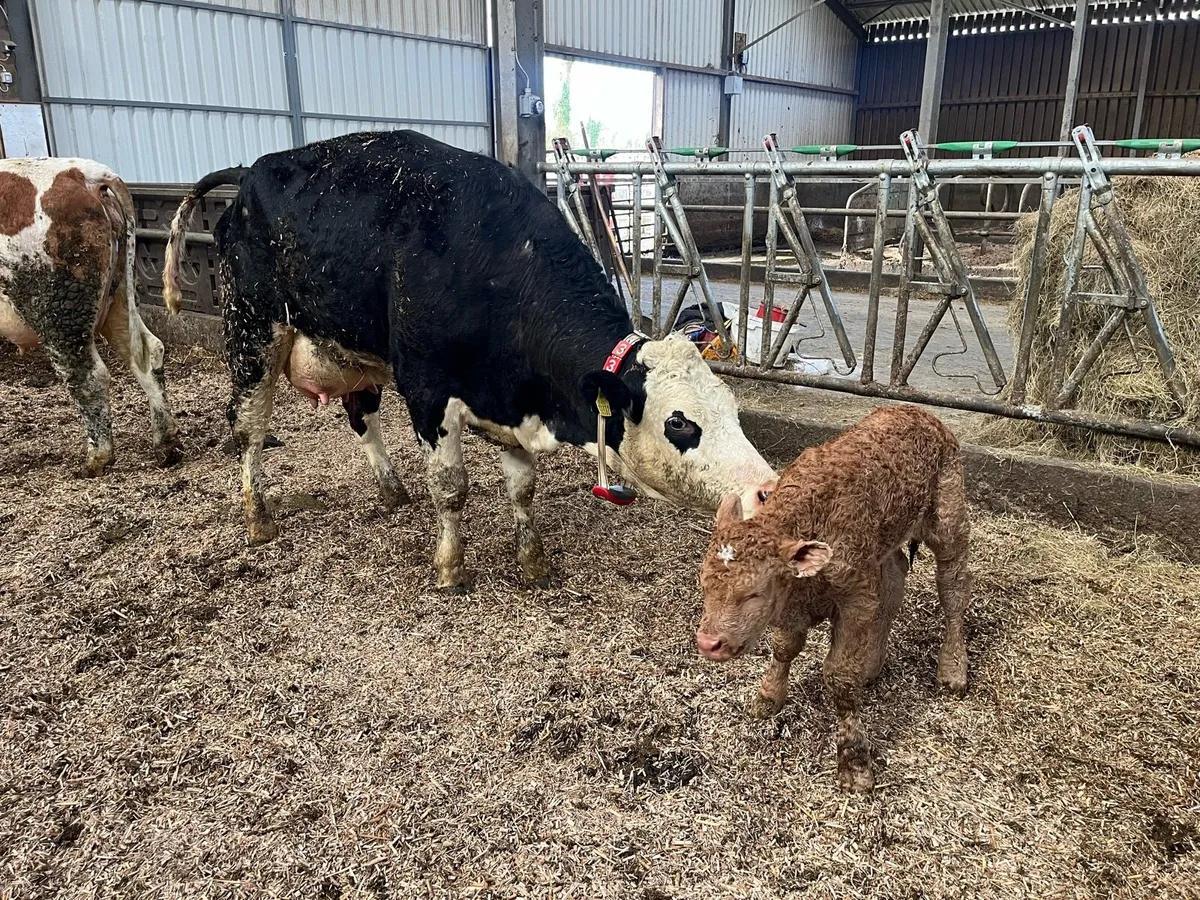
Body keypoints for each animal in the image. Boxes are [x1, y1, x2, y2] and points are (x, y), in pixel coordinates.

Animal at [0, 158, 179, 475]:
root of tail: (84, 173)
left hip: (58, 309)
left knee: (87, 375)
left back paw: (97, 459)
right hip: (117, 296)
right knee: (149, 350)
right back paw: (165, 441)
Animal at [160, 130, 776, 590]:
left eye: (733, 410)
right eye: (680, 423)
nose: (765, 490)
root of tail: (250, 172)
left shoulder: (512, 403)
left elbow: (522, 489)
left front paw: (533, 562)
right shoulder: (428, 391)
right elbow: (452, 487)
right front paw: (451, 568)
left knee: (361, 415)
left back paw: (391, 491)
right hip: (252, 331)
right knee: (248, 424)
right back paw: (258, 516)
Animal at [696, 405, 971, 792]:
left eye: (754, 592)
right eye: (704, 585)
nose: (708, 643)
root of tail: (916, 411)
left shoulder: (855, 597)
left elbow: (840, 676)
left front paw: (854, 762)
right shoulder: (796, 605)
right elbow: (784, 648)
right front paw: (768, 697)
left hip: (949, 519)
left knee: (954, 590)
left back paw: (952, 669)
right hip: (886, 545)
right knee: (895, 580)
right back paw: (872, 664)